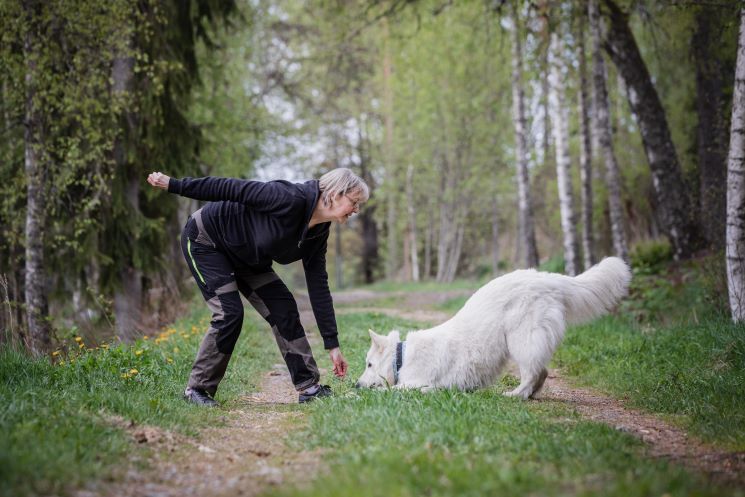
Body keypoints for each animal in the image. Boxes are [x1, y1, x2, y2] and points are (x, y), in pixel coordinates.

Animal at [354, 258, 628, 398]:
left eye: (369, 364)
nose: (355, 384)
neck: (402, 358)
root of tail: (546, 278)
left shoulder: (418, 385)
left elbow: (389, 390)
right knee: (542, 372)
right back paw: (529, 395)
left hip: (520, 340)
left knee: (533, 372)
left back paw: (515, 395)